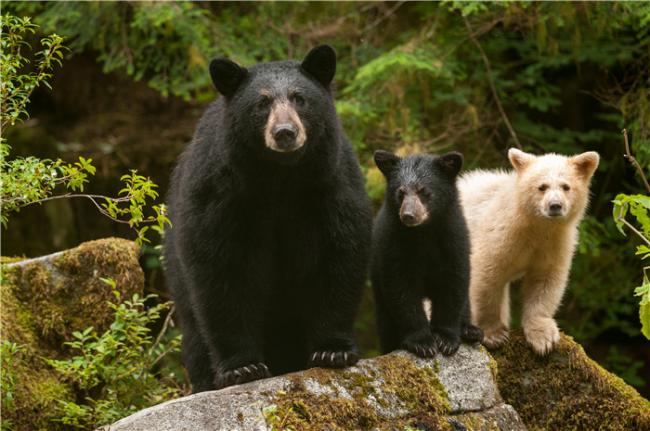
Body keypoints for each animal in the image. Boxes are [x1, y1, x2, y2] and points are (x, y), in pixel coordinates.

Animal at [165, 45, 372, 394]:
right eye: (262, 103)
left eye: (299, 98)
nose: (285, 133)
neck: (280, 177)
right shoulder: (221, 193)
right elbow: (219, 269)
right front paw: (241, 367)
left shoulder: (330, 184)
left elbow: (338, 256)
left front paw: (333, 350)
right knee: (193, 330)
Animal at [370, 152, 480, 358]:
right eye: (401, 192)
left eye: (423, 190)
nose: (408, 215)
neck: (423, 232)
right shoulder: (393, 243)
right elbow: (401, 289)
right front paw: (422, 342)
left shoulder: (454, 239)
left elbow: (453, 284)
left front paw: (446, 339)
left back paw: (471, 330)